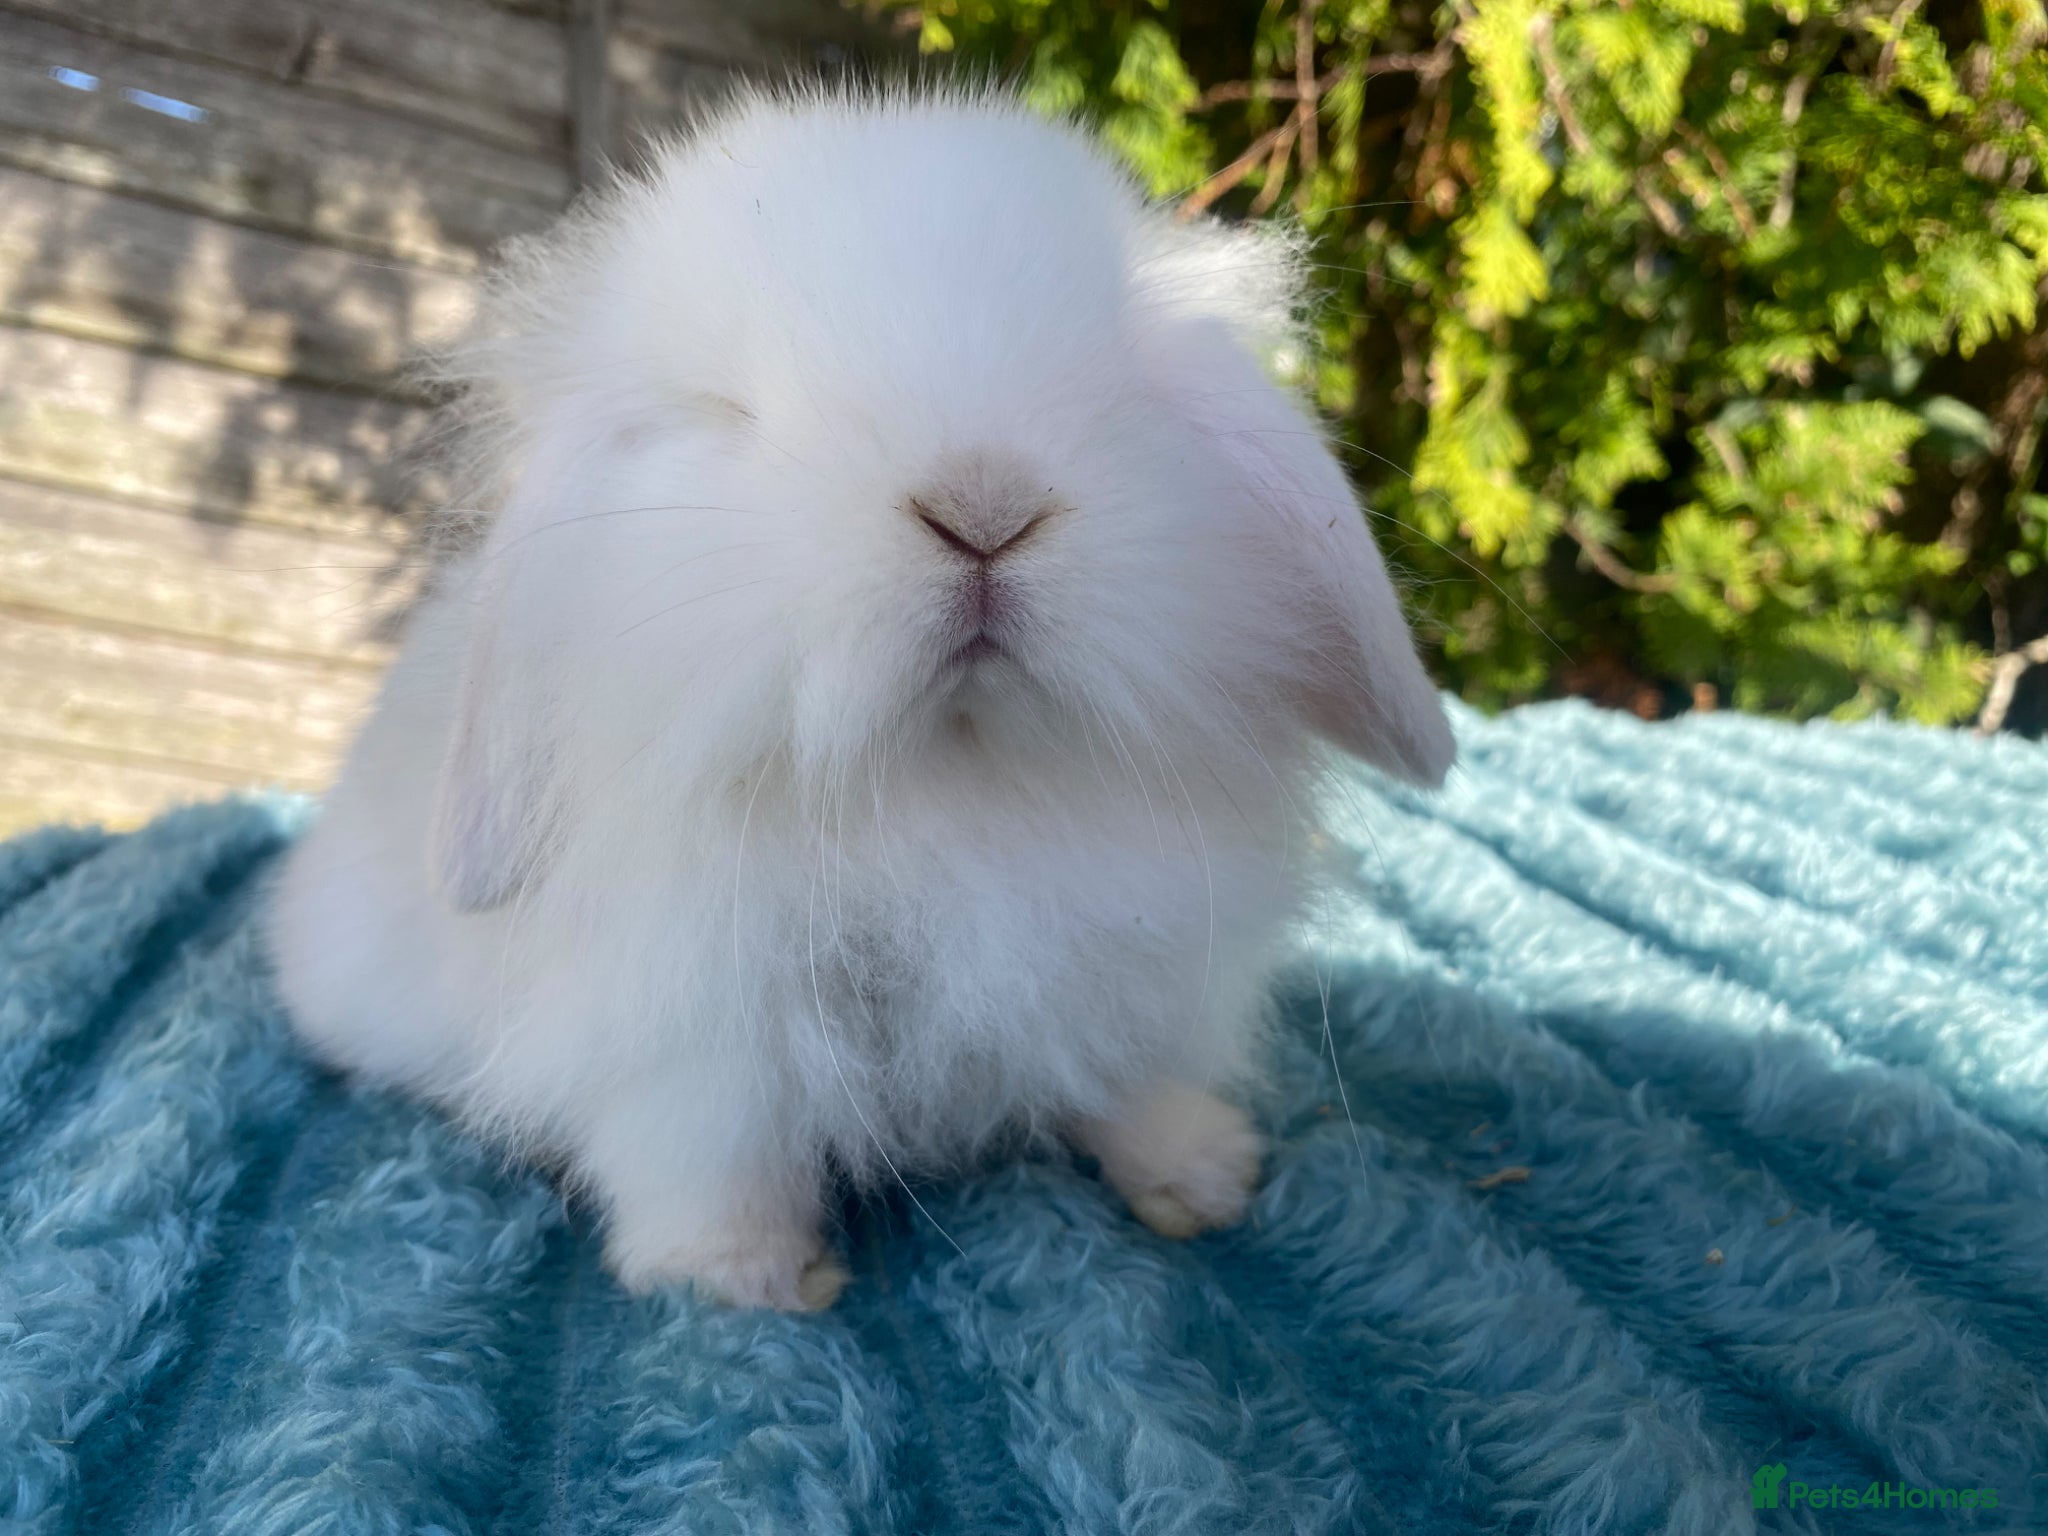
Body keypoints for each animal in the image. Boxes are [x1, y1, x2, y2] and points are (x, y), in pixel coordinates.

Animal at [265, 84, 1455, 1312]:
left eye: (1121, 389)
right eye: (729, 412)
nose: (983, 507)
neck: (945, 771)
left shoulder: (1129, 971)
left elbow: (1126, 1083)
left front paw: (1203, 1177)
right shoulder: (692, 1049)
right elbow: (710, 1158)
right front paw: (748, 1284)